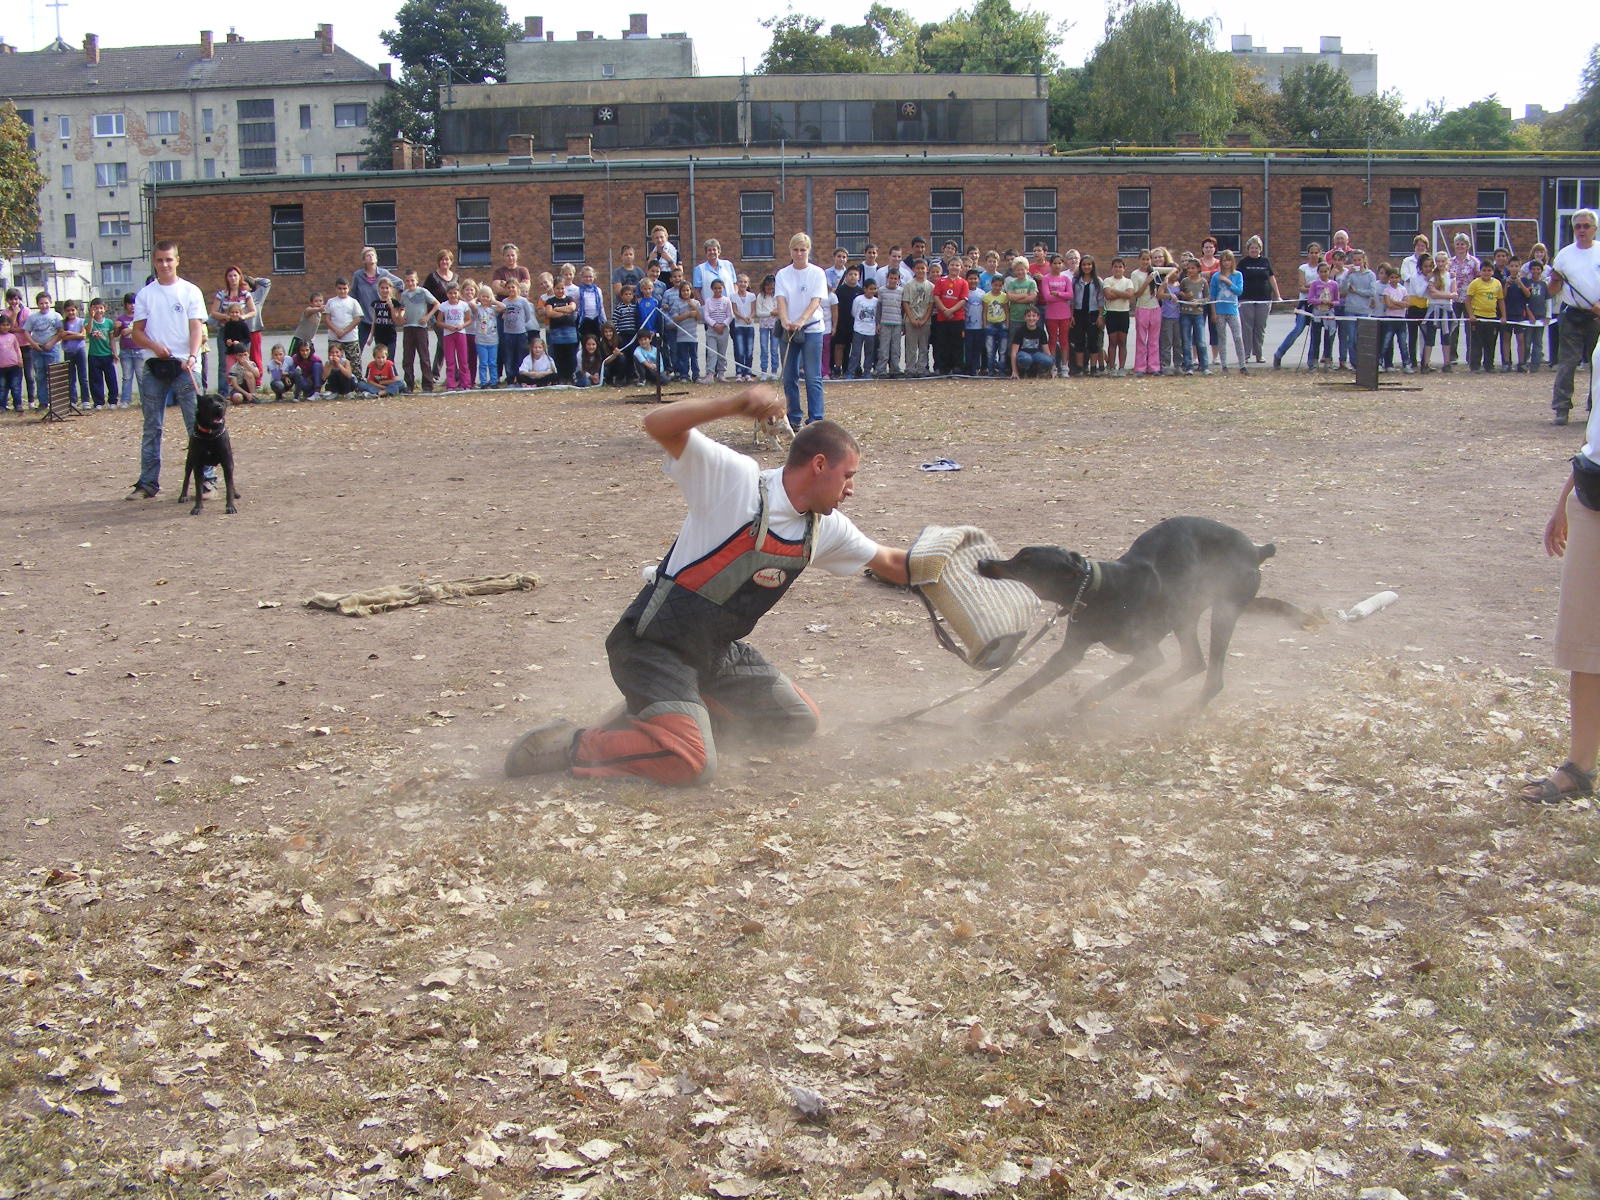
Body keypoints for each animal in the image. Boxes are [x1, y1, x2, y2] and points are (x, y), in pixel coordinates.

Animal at [972, 518, 1312, 723]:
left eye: (1025, 563)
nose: (982, 562)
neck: (1096, 588)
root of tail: (1257, 549)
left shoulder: (1148, 656)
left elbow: (1104, 686)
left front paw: (1078, 709)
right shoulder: (1070, 652)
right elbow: (1027, 686)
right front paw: (991, 712)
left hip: (1224, 610)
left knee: (1213, 675)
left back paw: (1188, 711)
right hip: (1184, 613)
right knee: (1194, 661)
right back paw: (1156, 689)